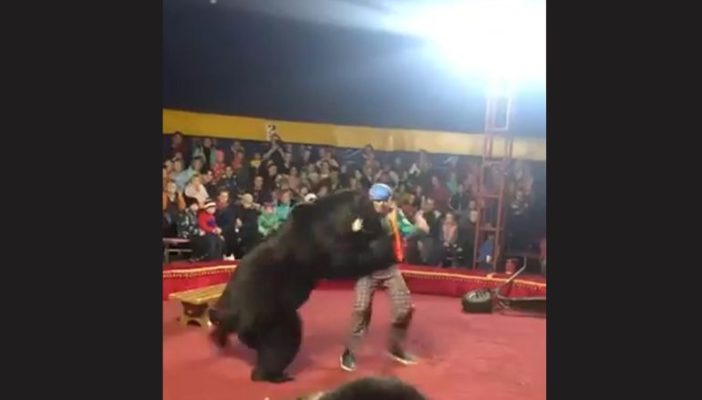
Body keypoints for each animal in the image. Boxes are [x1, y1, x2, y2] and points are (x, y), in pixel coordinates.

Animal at [208, 190, 397, 383]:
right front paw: (385, 247)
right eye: (362, 201)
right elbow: (349, 260)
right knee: (283, 340)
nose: (375, 204)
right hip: (268, 311)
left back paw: (220, 338)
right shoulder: (323, 244)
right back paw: (273, 374)